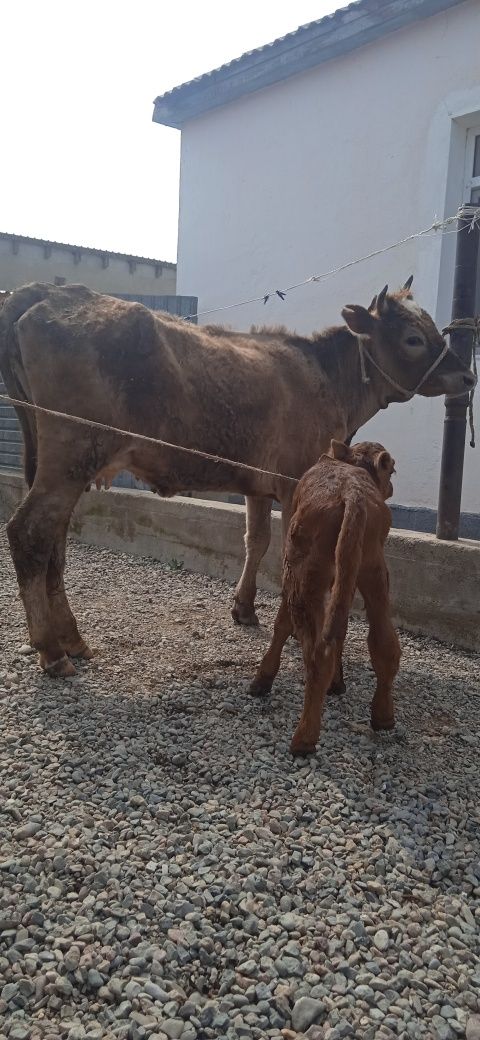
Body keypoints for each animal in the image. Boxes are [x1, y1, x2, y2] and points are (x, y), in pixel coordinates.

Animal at [0, 280, 473, 678]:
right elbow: (295, 553)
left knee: (55, 541)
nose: (468, 375)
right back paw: (51, 650)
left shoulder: (259, 484)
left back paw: (71, 639)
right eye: (413, 338)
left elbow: (256, 540)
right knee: (30, 531)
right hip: (73, 452)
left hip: (62, 460)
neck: (326, 377)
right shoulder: (296, 480)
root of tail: (46, 291)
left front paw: (244, 608)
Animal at [251, 438, 401, 757]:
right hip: (373, 570)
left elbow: (282, 624)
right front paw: (338, 684)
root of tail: (352, 492)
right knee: (384, 643)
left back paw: (304, 739)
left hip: (304, 571)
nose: (392, 487)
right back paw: (383, 716)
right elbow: (340, 629)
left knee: (317, 653)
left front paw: (263, 679)